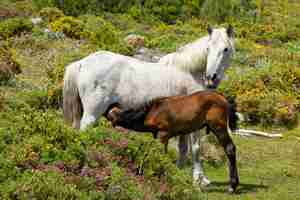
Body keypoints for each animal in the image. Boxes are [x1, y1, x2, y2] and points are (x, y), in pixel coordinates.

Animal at [106, 90, 240, 192]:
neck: (151, 111)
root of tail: (222, 97)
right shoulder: (163, 137)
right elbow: (159, 154)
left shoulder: (162, 135)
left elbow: (156, 154)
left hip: (218, 126)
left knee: (230, 148)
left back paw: (233, 186)